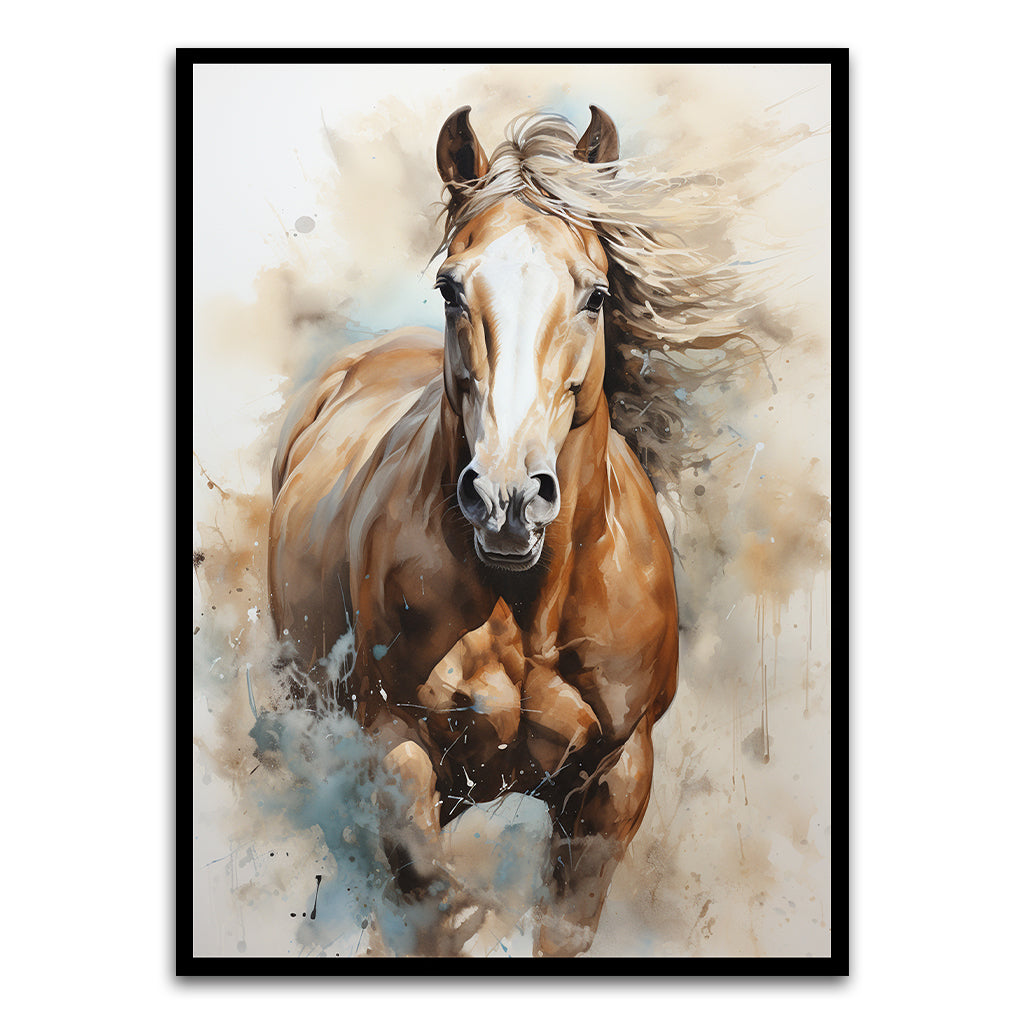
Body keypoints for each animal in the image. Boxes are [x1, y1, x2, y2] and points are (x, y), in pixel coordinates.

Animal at [268, 106, 720, 956]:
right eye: (451, 288)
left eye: (596, 295)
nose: (509, 497)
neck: (527, 603)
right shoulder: (397, 751)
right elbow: (440, 905)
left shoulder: (614, 783)